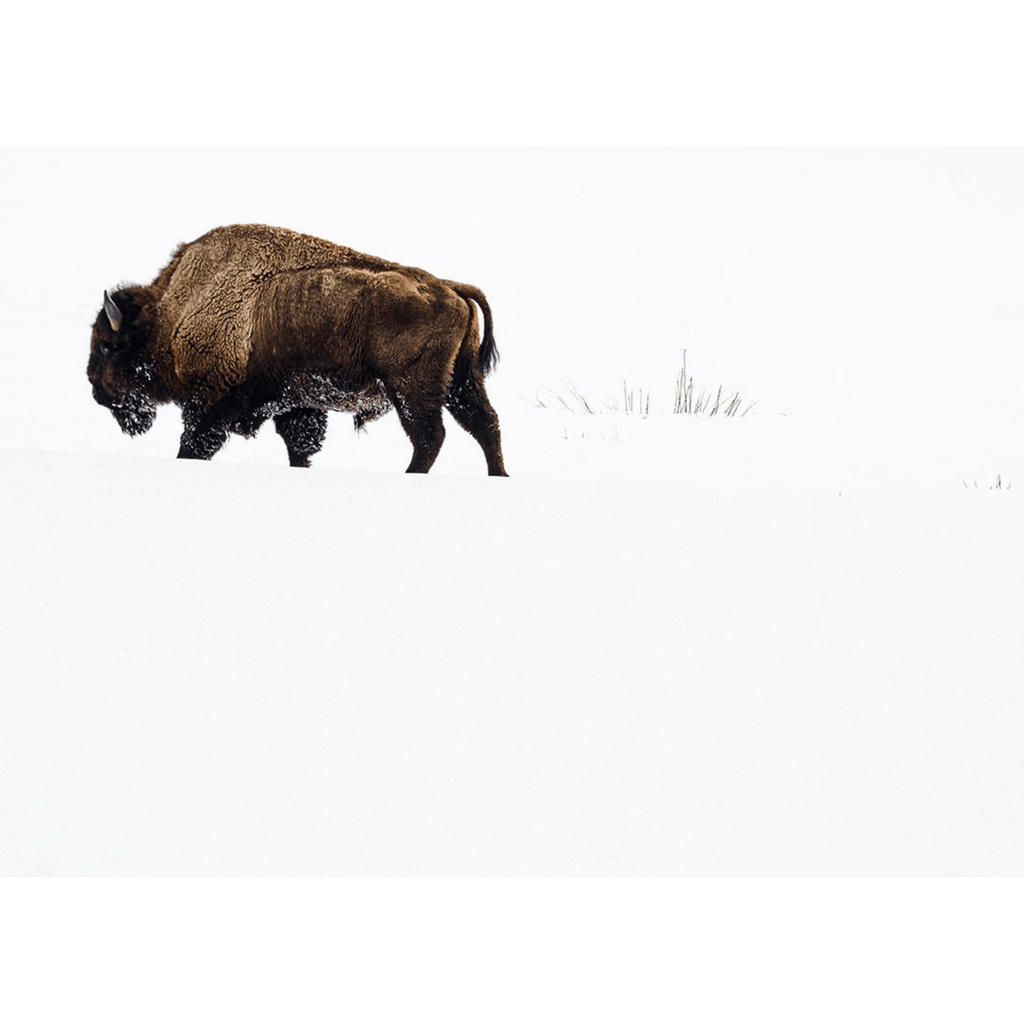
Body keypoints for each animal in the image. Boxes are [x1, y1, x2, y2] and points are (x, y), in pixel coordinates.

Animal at [88, 224, 507, 475]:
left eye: (108, 346)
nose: (95, 390)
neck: (175, 310)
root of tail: (451, 287)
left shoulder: (212, 399)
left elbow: (195, 442)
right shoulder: (296, 404)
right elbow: (299, 445)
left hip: (412, 388)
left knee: (430, 436)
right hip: (461, 382)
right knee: (485, 425)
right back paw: (498, 475)